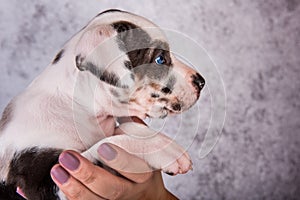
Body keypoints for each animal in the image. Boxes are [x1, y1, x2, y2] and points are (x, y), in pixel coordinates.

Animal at [0, 9, 204, 200]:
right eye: (160, 59)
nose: (201, 82)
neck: (75, 106)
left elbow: (125, 130)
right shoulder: (45, 182)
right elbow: (105, 144)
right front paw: (165, 149)